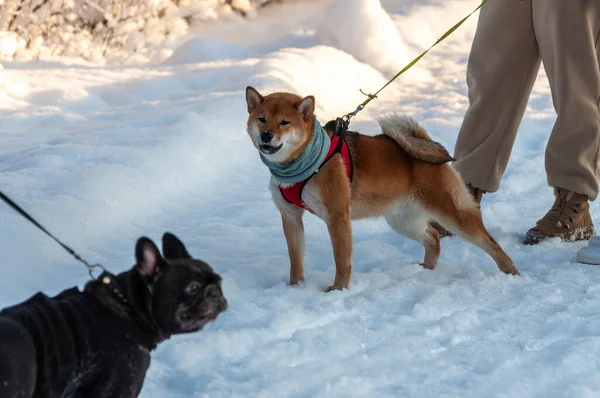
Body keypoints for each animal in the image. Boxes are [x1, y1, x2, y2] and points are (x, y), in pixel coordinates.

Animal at [246, 86, 516, 292]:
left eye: (284, 122)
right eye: (262, 119)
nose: (266, 135)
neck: (301, 164)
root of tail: (427, 146)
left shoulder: (337, 217)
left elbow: (341, 259)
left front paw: (339, 289)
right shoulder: (290, 216)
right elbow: (295, 257)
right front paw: (295, 287)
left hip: (453, 216)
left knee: (491, 244)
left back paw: (512, 273)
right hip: (402, 220)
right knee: (433, 238)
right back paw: (426, 270)